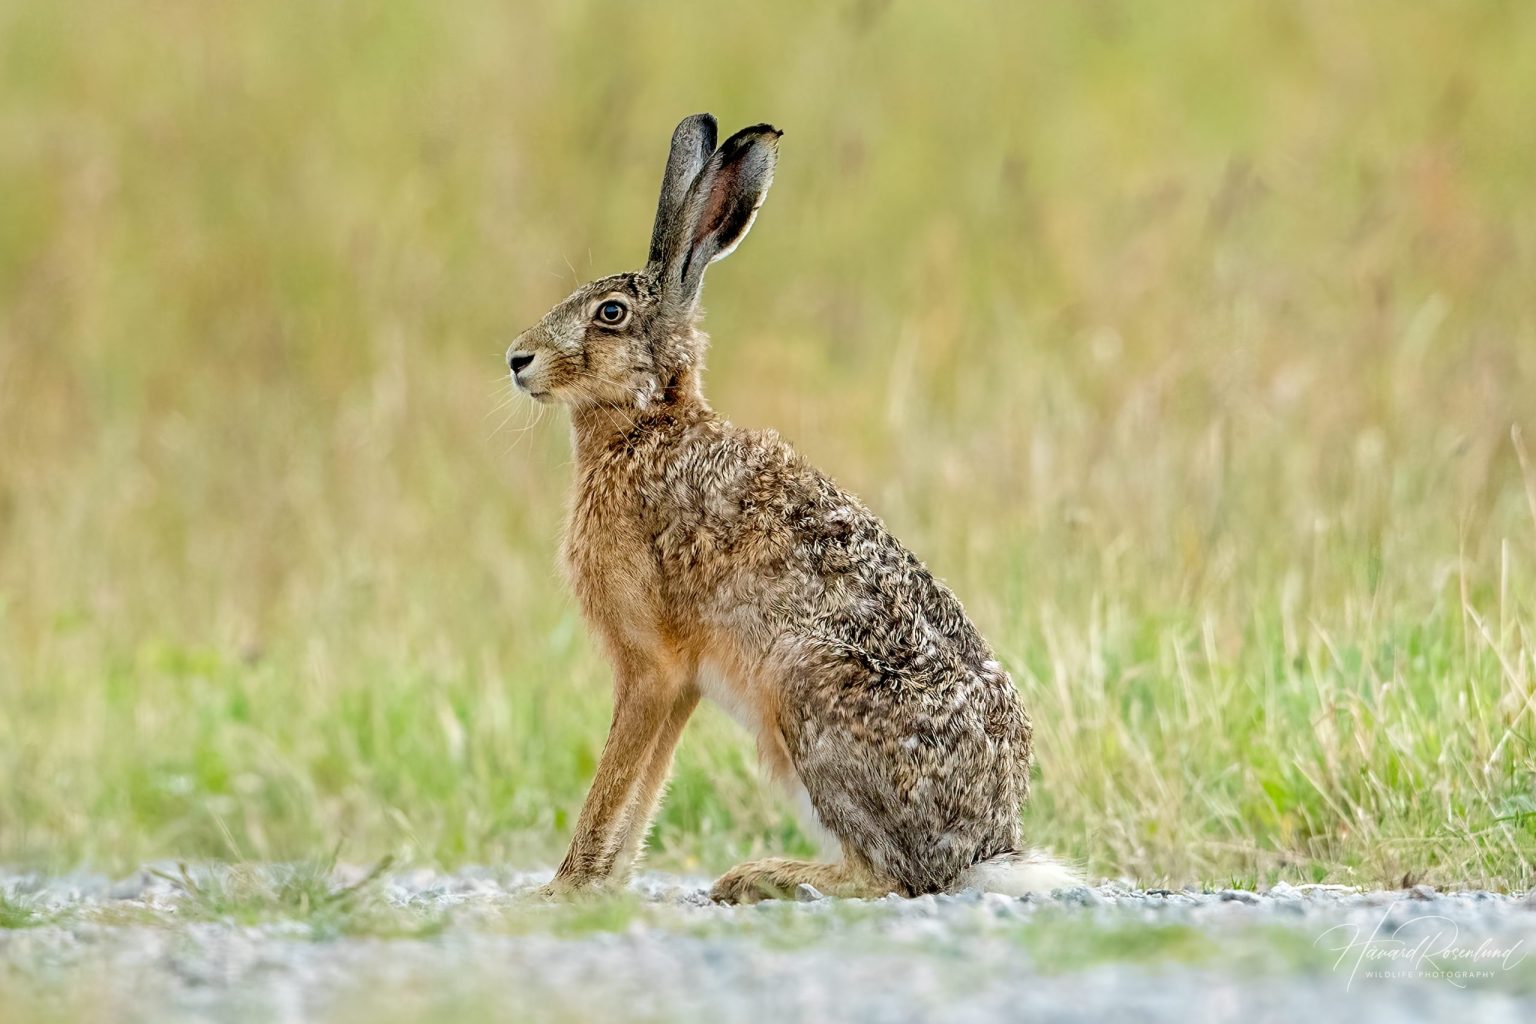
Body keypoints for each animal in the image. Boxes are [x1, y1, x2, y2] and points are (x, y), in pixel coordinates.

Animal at [506, 113, 1078, 902]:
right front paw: (604, 883)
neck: (648, 427)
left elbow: (614, 780)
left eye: (610, 314)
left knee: (890, 878)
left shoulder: (650, 666)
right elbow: (644, 789)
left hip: (805, 691)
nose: (517, 360)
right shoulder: (680, 684)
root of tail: (983, 847)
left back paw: (758, 877)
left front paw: (561, 890)